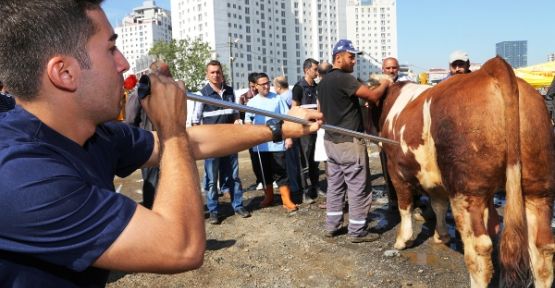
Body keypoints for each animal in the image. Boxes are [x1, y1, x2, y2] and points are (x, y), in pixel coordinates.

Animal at [378, 56, 555, 288]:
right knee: (543, 248)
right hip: (538, 186)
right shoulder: (437, 180)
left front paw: (402, 240)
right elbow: (439, 205)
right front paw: (442, 236)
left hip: (468, 191)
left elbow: (404, 205)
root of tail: (494, 68)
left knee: (479, 250)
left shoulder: (395, 168)